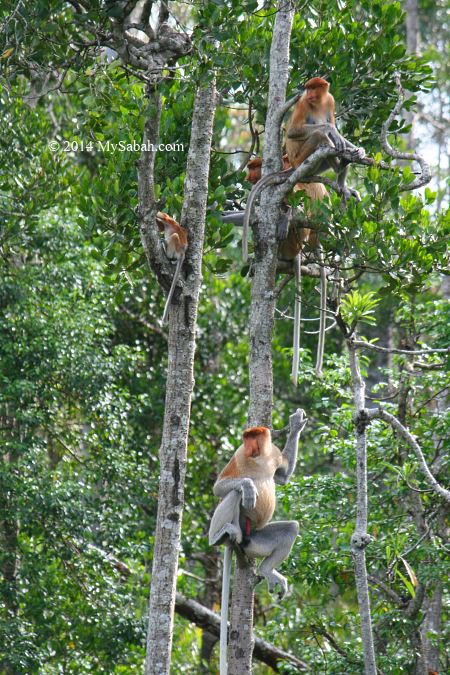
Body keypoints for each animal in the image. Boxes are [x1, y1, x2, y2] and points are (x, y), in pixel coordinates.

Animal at [209, 410, 308, 672]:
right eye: (246, 438)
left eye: (255, 437)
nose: (249, 445)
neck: (259, 457)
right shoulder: (238, 455)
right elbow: (219, 487)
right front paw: (249, 486)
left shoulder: (272, 453)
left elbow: (282, 476)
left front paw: (296, 424)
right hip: (239, 527)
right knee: (232, 493)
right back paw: (220, 535)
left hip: (257, 539)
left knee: (291, 528)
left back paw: (266, 570)